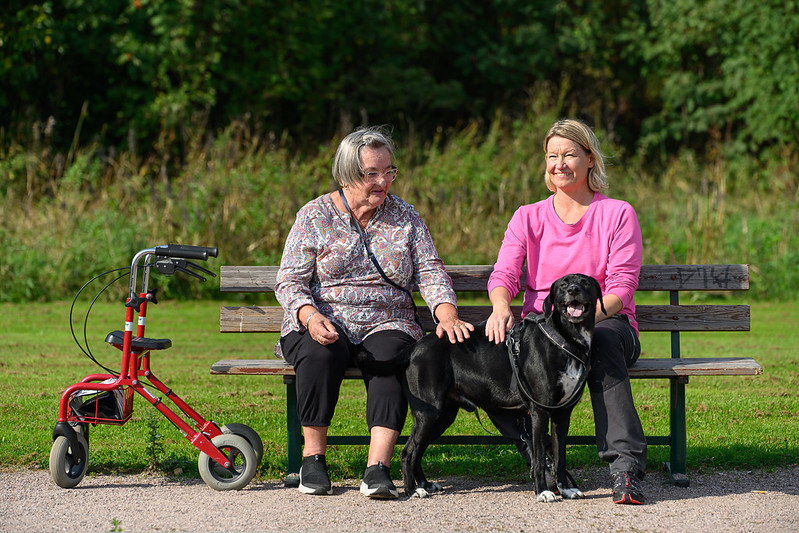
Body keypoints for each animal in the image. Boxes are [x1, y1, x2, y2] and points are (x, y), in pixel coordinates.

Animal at [360, 272, 604, 500]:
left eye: (585, 282)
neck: (565, 340)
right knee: (408, 452)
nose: (573, 290)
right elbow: (539, 458)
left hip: (443, 416)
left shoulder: (563, 413)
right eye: (563, 284)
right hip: (429, 413)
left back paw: (425, 484)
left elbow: (560, 455)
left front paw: (567, 489)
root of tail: (414, 347)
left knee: (418, 450)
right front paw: (543, 492)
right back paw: (413, 490)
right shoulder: (540, 411)